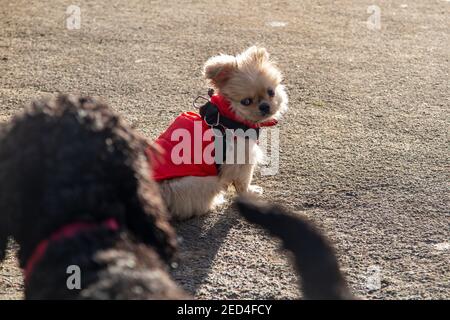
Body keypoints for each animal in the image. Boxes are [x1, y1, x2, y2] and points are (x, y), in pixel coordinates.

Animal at [152, 46, 288, 219]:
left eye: (271, 92)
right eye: (246, 101)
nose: (265, 106)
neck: (230, 114)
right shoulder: (241, 159)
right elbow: (243, 181)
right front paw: (250, 193)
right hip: (204, 182)